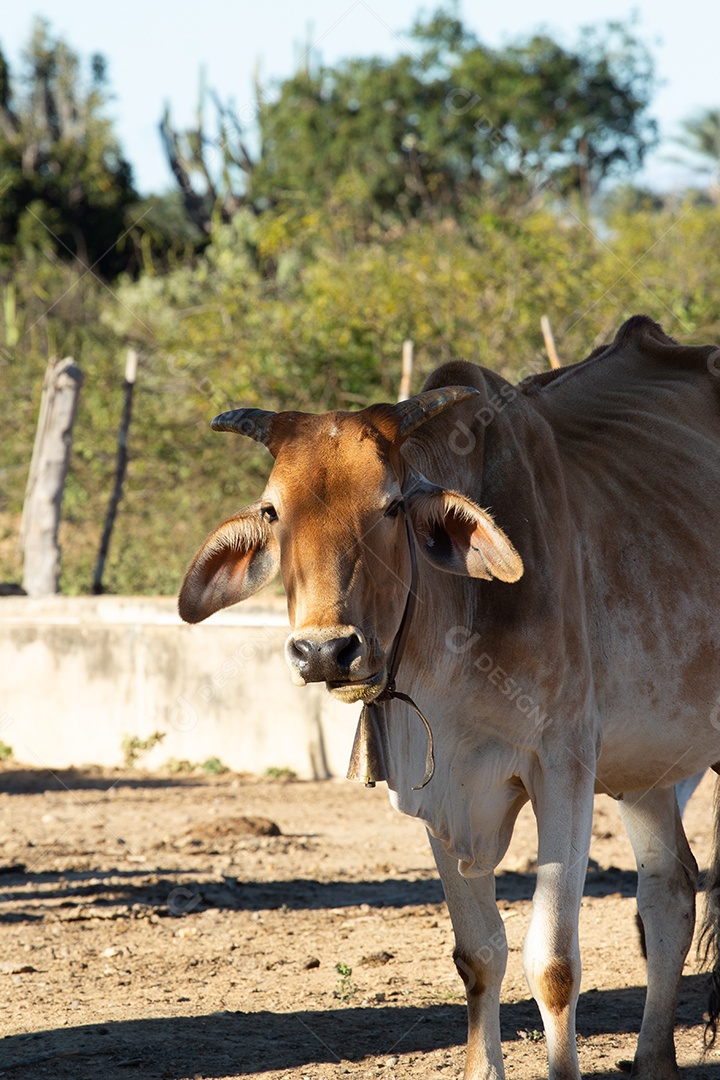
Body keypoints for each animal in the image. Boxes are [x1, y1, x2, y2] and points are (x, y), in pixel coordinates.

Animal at [180, 315, 720, 1075]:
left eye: (392, 505)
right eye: (272, 510)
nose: (324, 651)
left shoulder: (563, 766)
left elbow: (553, 963)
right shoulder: (434, 784)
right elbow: (479, 954)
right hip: (648, 765)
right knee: (669, 890)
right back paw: (652, 1059)